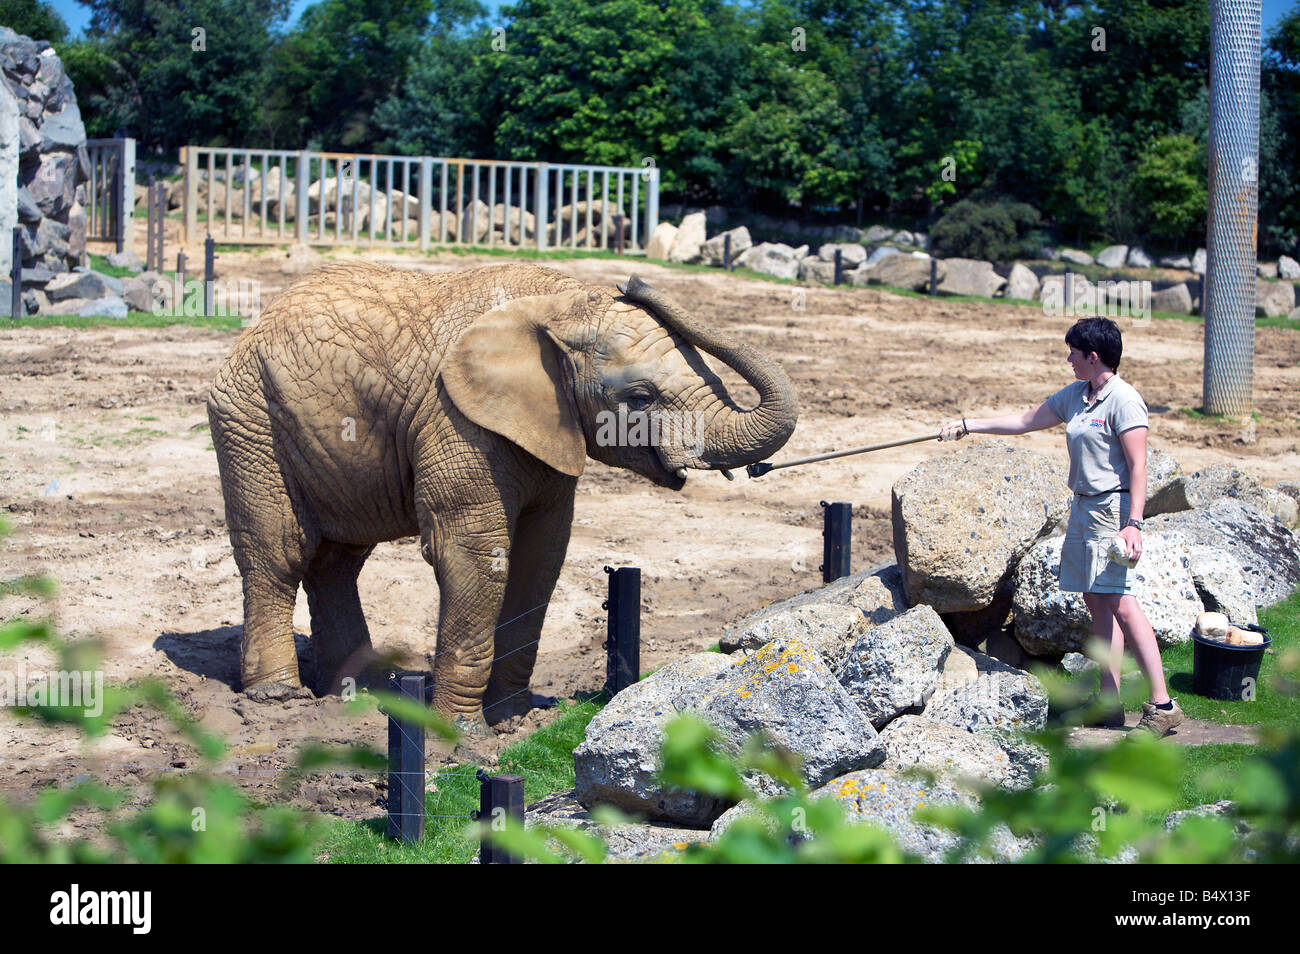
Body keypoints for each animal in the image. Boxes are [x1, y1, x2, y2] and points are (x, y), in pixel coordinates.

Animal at [206, 261, 795, 733]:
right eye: (640, 396)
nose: (632, 280)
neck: (558, 303)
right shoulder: (455, 418)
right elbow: (473, 551)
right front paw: (461, 736)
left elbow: (542, 555)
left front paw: (513, 718)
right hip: (248, 419)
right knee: (279, 551)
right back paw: (279, 697)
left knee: (338, 560)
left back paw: (364, 690)